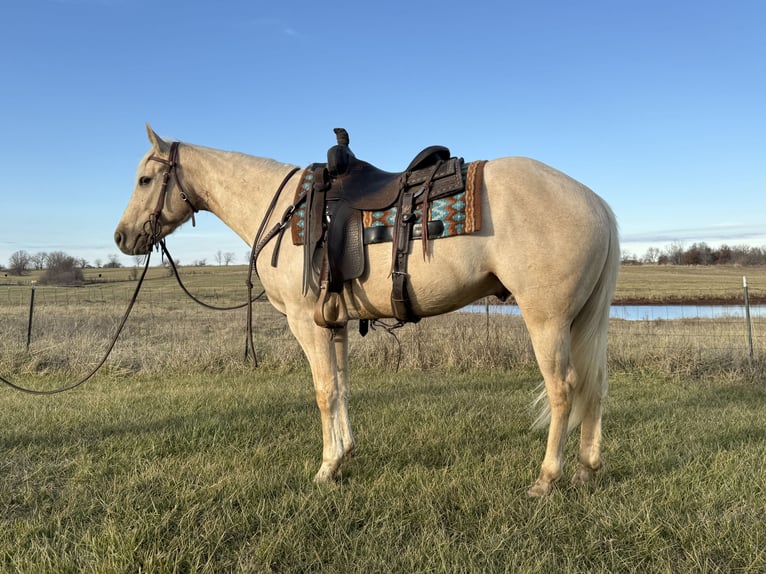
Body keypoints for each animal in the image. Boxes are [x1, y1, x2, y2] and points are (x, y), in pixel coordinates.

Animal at [114, 127, 620, 500]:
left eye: (144, 180)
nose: (122, 237)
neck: (282, 210)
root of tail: (596, 203)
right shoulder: (333, 322)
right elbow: (341, 387)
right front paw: (345, 456)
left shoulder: (306, 322)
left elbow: (323, 392)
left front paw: (325, 468)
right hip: (580, 321)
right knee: (594, 386)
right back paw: (586, 468)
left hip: (547, 321)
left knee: (563, 389)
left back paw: (547, 478)